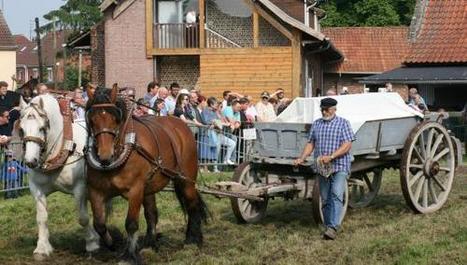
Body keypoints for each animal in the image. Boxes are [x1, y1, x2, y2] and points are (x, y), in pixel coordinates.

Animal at [84, 85, 208, 262]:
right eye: (92, 119)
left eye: (115, 119)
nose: (104, 156)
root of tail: (180, 123)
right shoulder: (95, 190)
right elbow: (99, 224)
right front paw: (114, 245)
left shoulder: (136, 189)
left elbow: (131, 223)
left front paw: (129, 256)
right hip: (149, 186)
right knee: (152, 213)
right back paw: (150, 244)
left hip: (186, 180)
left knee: (192, 205)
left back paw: (192, 240)